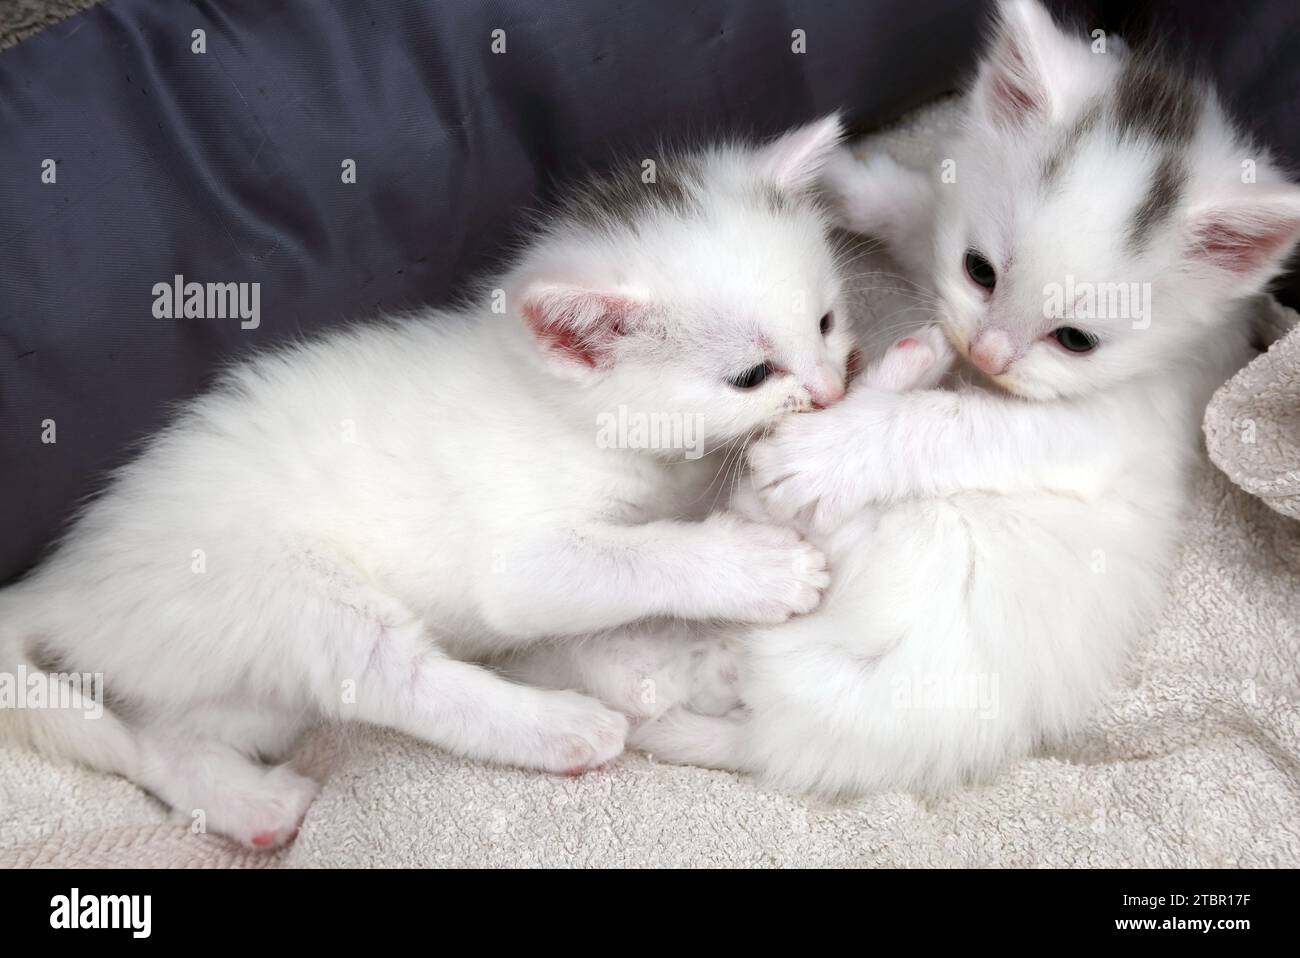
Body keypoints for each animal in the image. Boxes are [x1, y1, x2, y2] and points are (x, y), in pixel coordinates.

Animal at [5, 115, 857, 842]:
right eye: (750, 376)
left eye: (825, 323)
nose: (831, 391)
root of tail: (65, 578)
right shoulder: (520, 557)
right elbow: (636, 557)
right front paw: (757, 567)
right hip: (280, 590)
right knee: (392, 678)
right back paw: (561, 729)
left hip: (239, 679)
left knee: (160, 734)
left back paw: (245, 802)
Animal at [629, 0, 1300, 790]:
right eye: (979, 270)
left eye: (1076, 340)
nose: (984, 354)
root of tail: (783, 738)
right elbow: (918, 214)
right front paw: (843, 180)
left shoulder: (1109, 426)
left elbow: (956, 421)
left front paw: (830, 451)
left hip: (910, 557)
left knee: (779, 514)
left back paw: (880, 392)